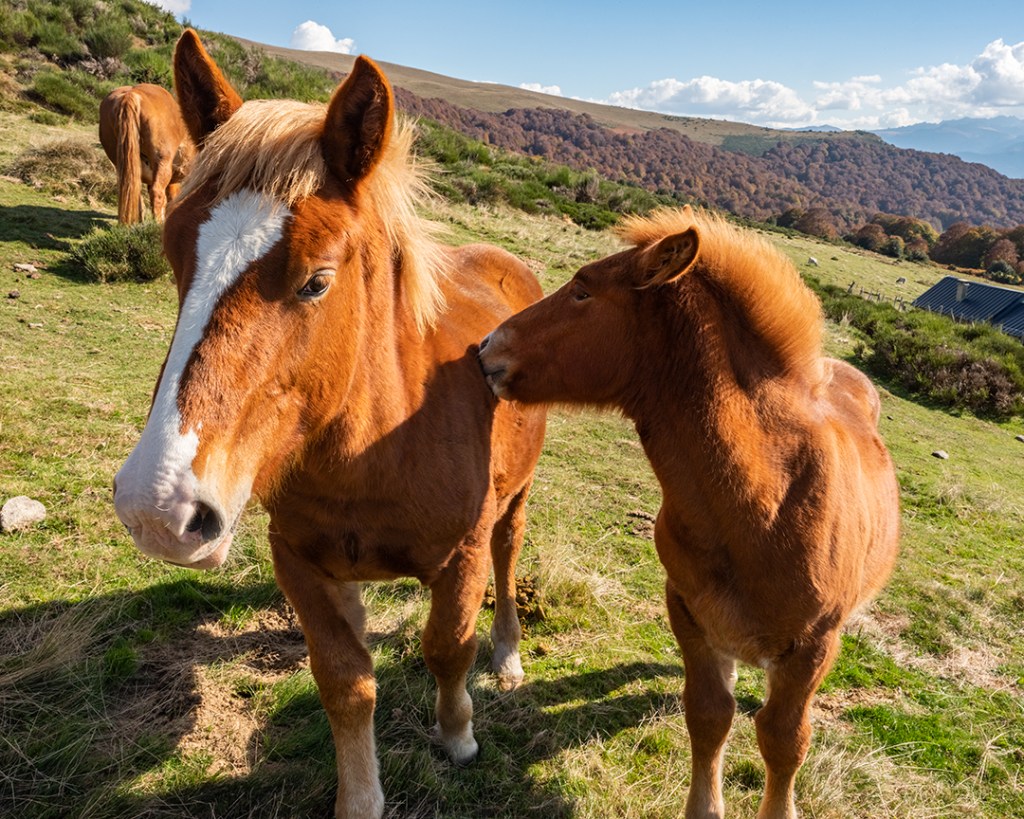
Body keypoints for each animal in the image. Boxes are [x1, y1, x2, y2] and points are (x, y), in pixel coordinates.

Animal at [113, 30, 546, 819]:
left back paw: (508, 655)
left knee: (509, 555)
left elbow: (448, 647)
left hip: (517, 498)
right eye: (173, 254)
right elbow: (345, 679)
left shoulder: (462, 554)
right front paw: (361, 794)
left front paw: (459, 734)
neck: (378, 445)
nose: (157, 509)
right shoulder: (300, 560)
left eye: (317, 280)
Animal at [479, 206, 900, 819]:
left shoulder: (812, 650)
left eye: (582, 291)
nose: (486, 349)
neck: (763, 510)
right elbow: (709, 715)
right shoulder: (689, 613)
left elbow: (784, 741)